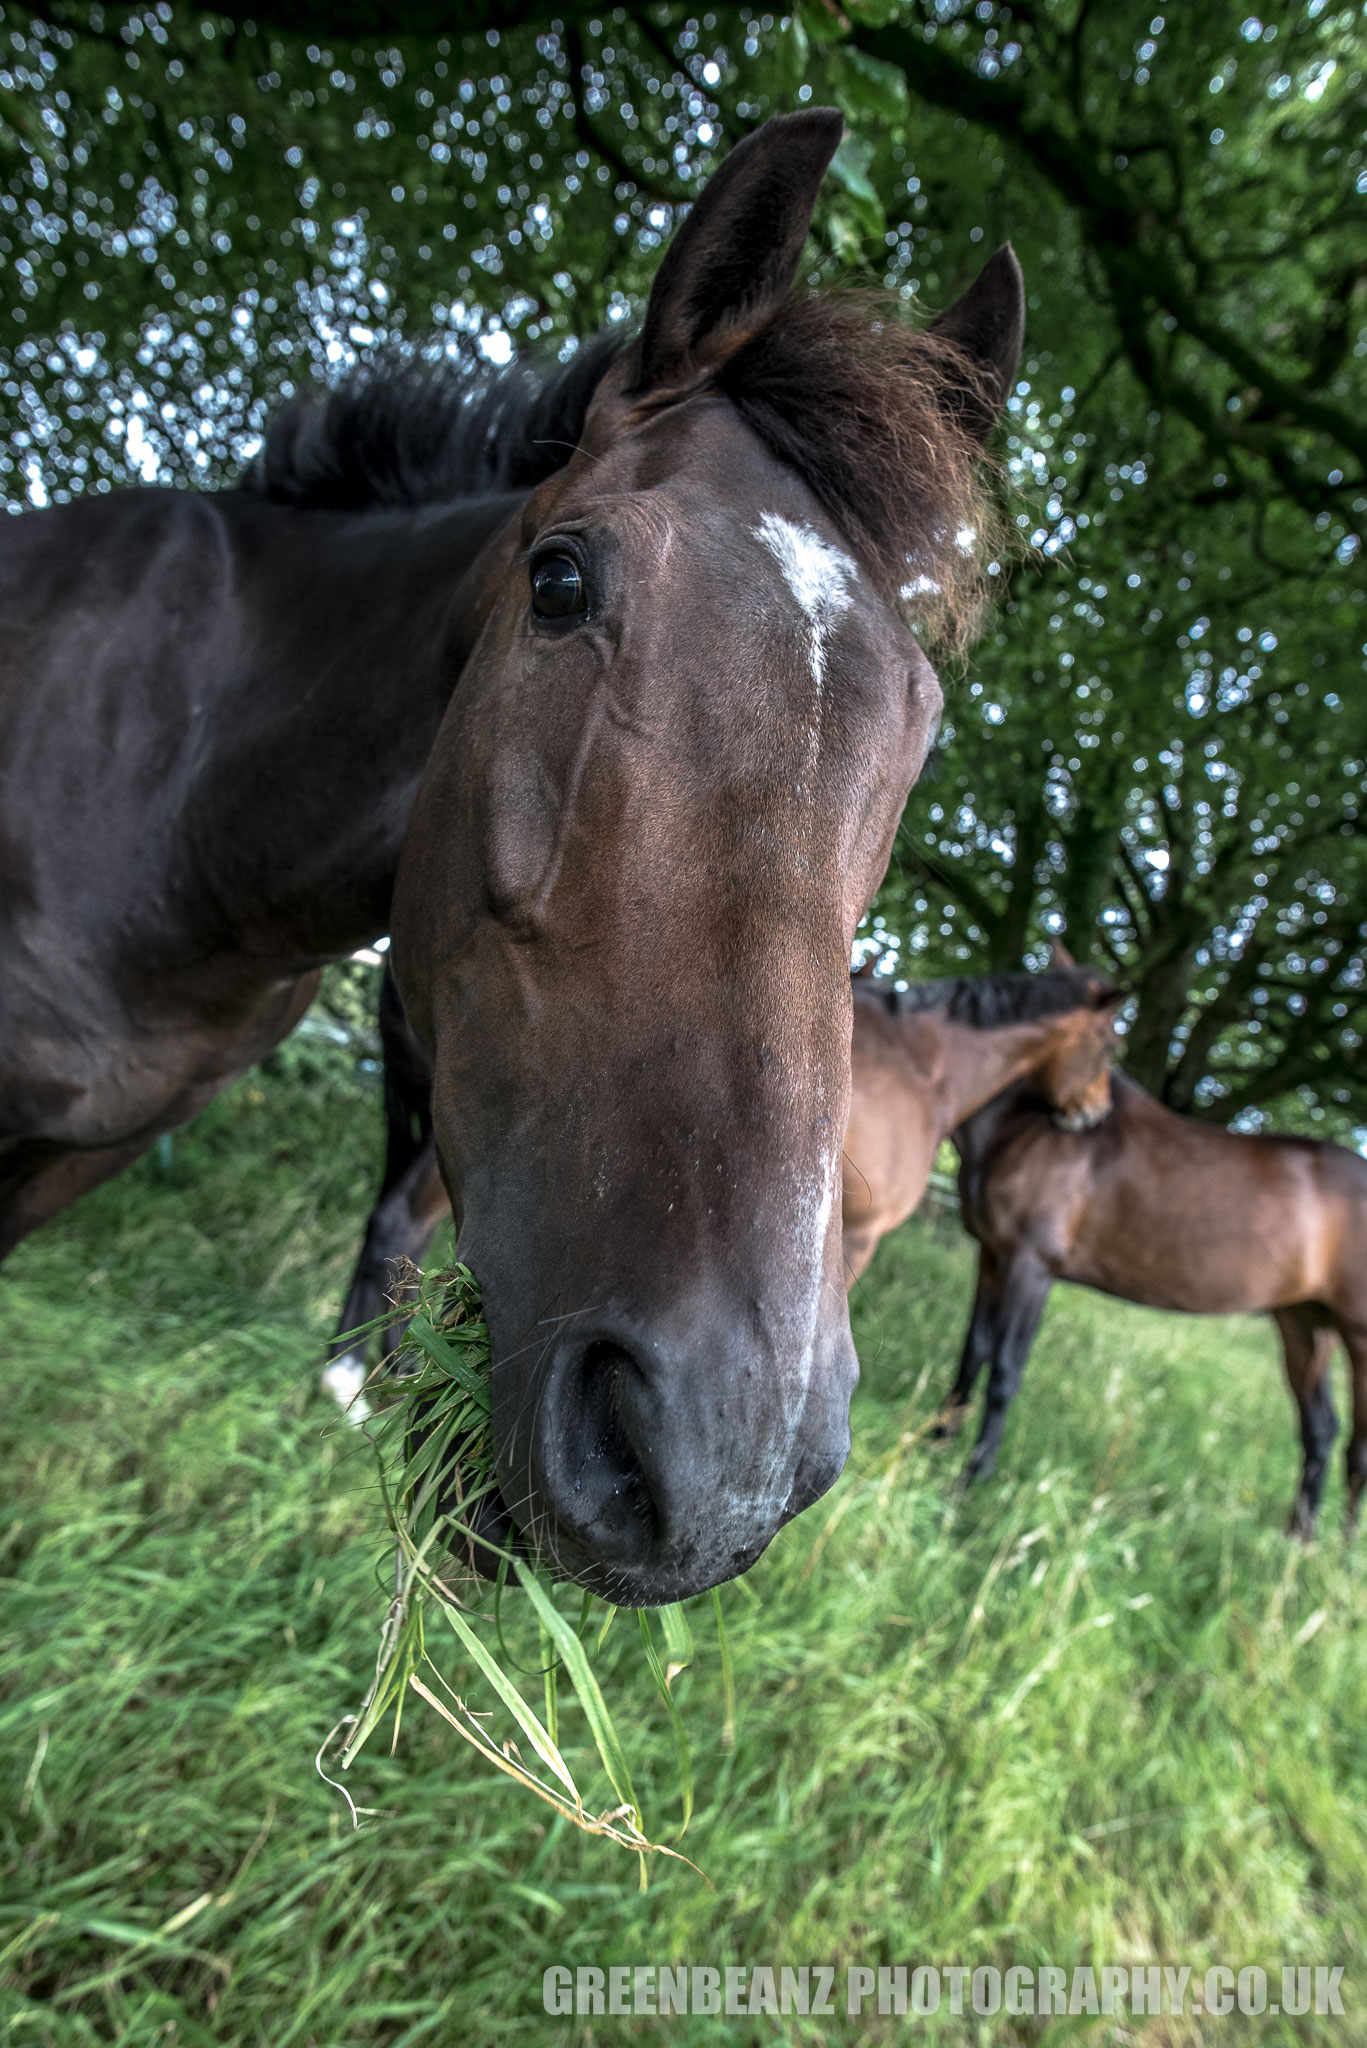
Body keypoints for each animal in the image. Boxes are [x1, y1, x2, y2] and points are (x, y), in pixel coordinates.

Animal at [942, 1073, 1367, 1540]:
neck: (1025, 1123)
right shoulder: (992, 1258)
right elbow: (971, 1356)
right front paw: (934, 1442)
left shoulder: (1029, 1267)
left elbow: (1003, 1373)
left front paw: (970, 1479)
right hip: (1304, 1322)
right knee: (1321, 1430)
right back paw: (1297, 1539)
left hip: (1358, 1336)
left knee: (1357, 1450)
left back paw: (1341, 1551)